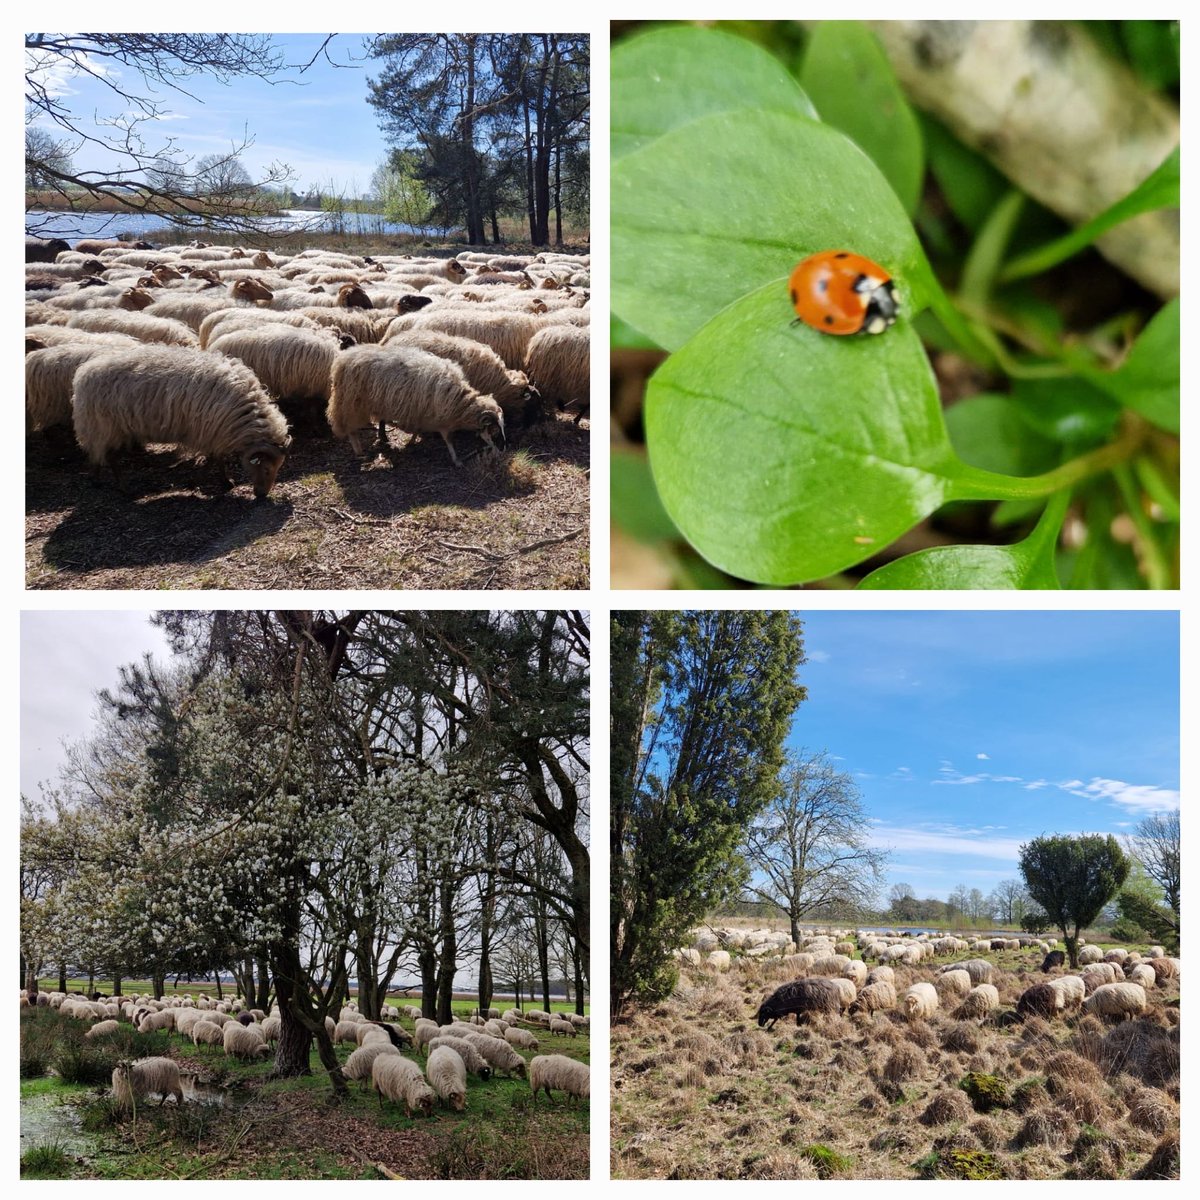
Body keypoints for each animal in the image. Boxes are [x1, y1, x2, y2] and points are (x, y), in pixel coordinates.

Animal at [326, 345, 504, 465]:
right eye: (494, 429)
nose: (502, 449)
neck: (460, 402)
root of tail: (343, 358)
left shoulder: (420, 413)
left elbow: (417, 429)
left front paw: (411, 441)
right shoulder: (440, 419)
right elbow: (449, 440)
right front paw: (456, 460)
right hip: (351, 403)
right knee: (351, 430)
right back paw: (359, 451)